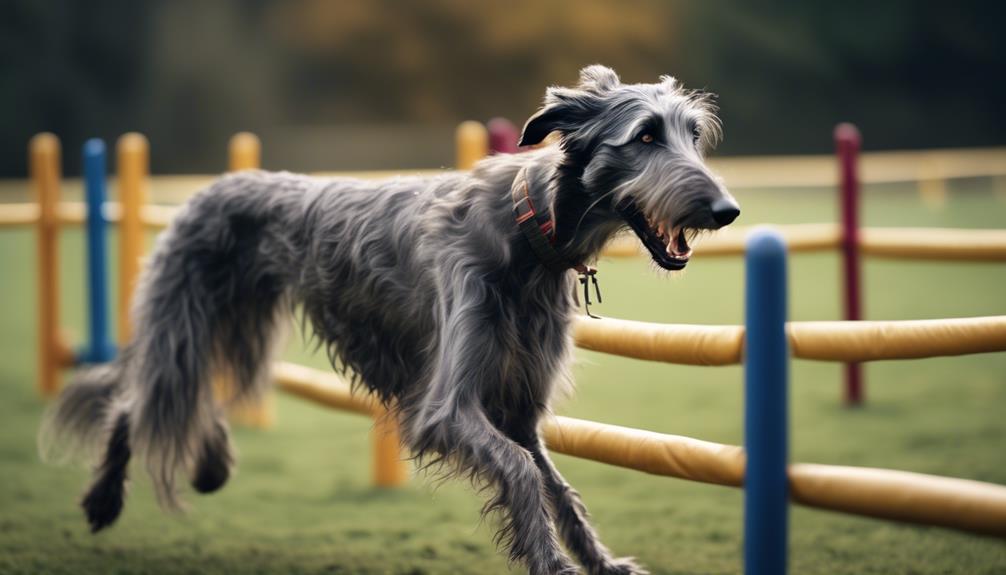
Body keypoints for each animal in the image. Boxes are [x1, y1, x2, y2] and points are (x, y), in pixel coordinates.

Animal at [41, 67, 740, 575]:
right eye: (644, 135)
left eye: (692, 134)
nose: (727, 210)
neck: (529, 232)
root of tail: (208, 186)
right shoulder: (449, 405)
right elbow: (518, 471)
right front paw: (554, 567)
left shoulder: (518, 407)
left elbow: (556, 486)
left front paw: (600, 562)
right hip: (183, 323)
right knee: (137, 401)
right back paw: (103, 498)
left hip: (239, 325)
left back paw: (209, 464)